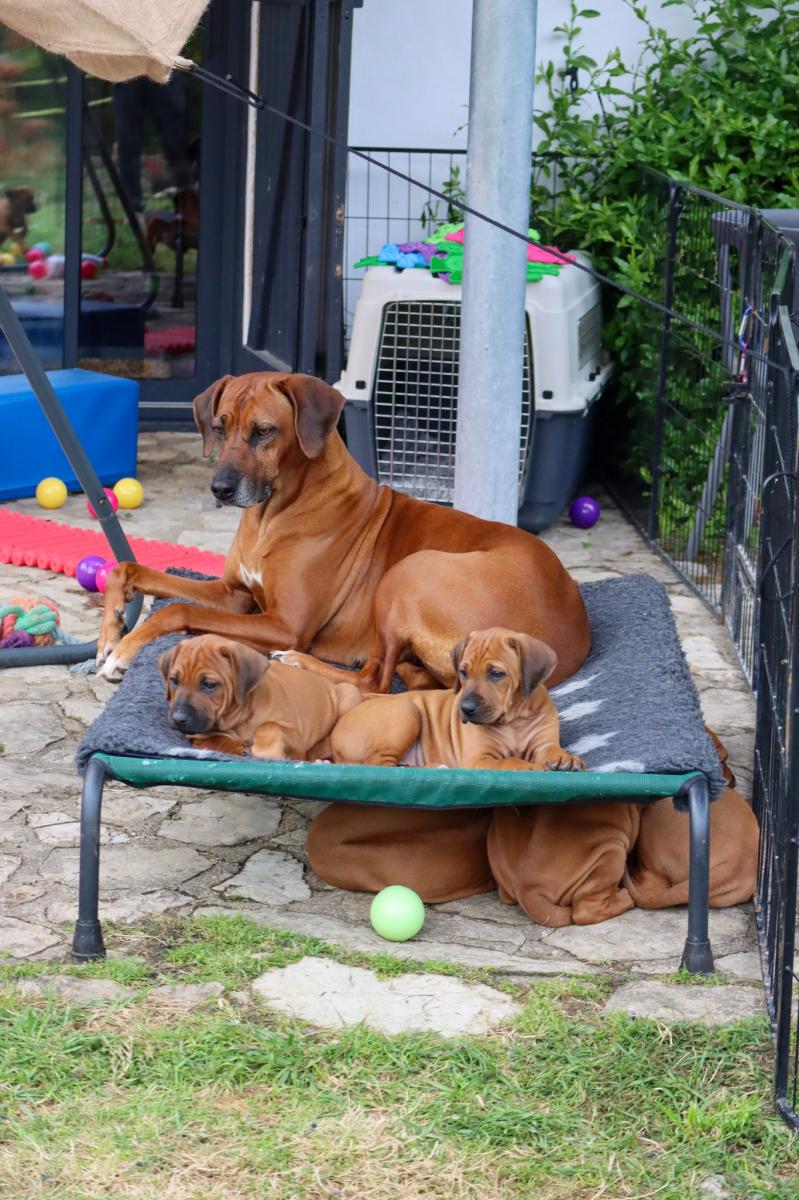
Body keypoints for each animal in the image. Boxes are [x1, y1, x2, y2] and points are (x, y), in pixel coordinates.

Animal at [96, 374, 587, 696]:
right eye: (219, 427)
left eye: (263, 432)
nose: (220, 489)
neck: (272, 514)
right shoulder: (235, 596)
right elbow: (133, 568)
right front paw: (111, 628)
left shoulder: (284, 623)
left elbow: (178, 610)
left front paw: (124, 650)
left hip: (410, 574)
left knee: (374, 682)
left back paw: (300, 661)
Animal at [158, 633, 357, 753]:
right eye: (174, 681)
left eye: (209, 685)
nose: (178, 719)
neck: (237, 720)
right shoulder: (198, 735)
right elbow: (213, 740)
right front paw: (238, 747)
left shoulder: (295, 737)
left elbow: (269, 725)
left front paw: (264, 750)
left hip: (347, 694)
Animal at [326, 624, 583, 772]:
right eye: (463, 672)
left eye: (496, 674)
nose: (466, 709)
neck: (515, 720)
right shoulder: (480, 759)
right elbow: (509, 762)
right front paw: (531, 767)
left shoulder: (543, 743)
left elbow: (551, 748)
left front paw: (565, 758)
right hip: (407, 712)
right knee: (380, 765)